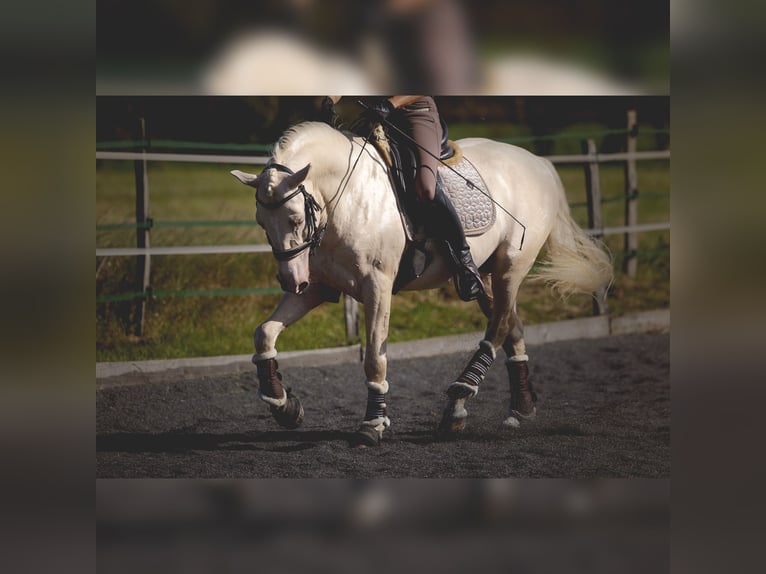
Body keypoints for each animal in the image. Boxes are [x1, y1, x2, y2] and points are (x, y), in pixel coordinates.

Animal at [231, 120, 616, 446]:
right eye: (261, 222)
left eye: (296, 218)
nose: (288, 280)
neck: (349, 198)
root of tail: (540, 164)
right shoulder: (316, 288)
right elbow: (264, 333)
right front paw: (284, 406)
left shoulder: (377, 287)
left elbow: (375, 358)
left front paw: (372, 425)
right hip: (486, 275)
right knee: (511, 328)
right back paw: (514, 409)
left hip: (512, 267)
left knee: (498, 328)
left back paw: (460, 396)